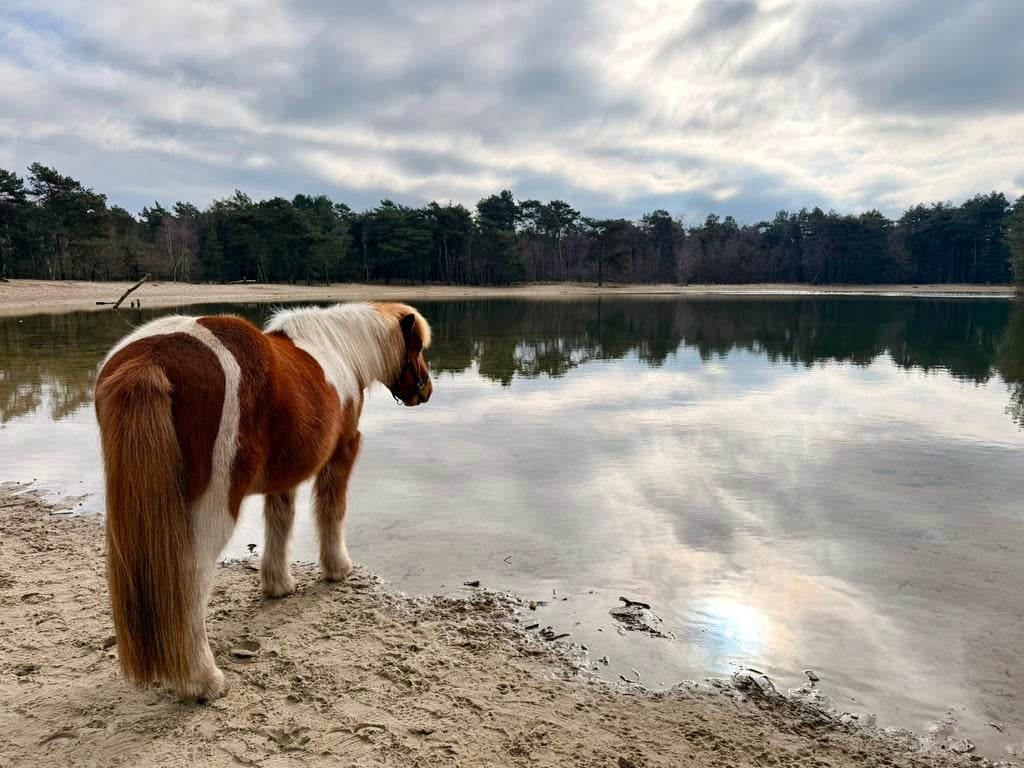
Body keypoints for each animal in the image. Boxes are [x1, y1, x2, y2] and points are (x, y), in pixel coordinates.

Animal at [95, 301, 432, 701]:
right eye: (417, 347)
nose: (426, 390)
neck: (341, 350)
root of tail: (148, 360)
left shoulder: (283, 474)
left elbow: (279, 520)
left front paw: (278, 584)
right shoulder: (342, 453)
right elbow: (332, 511)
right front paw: (338, 568)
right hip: (213, 507)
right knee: (191, 577)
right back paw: (203, 680)